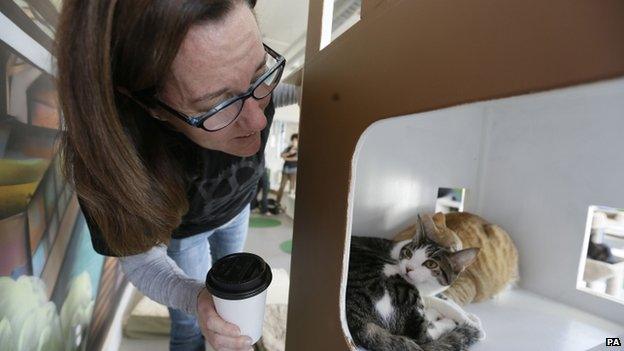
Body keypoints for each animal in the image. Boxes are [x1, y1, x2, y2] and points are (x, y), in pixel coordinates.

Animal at [346, 214, 482, 351]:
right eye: (408, 253)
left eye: (431, 264)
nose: (408, 268)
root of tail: (356, 321)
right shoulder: (421, 293)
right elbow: (443, 304)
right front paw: (469, 322)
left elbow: (446, 299)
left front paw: (470, 317)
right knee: (422, 335)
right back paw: (442, 319)